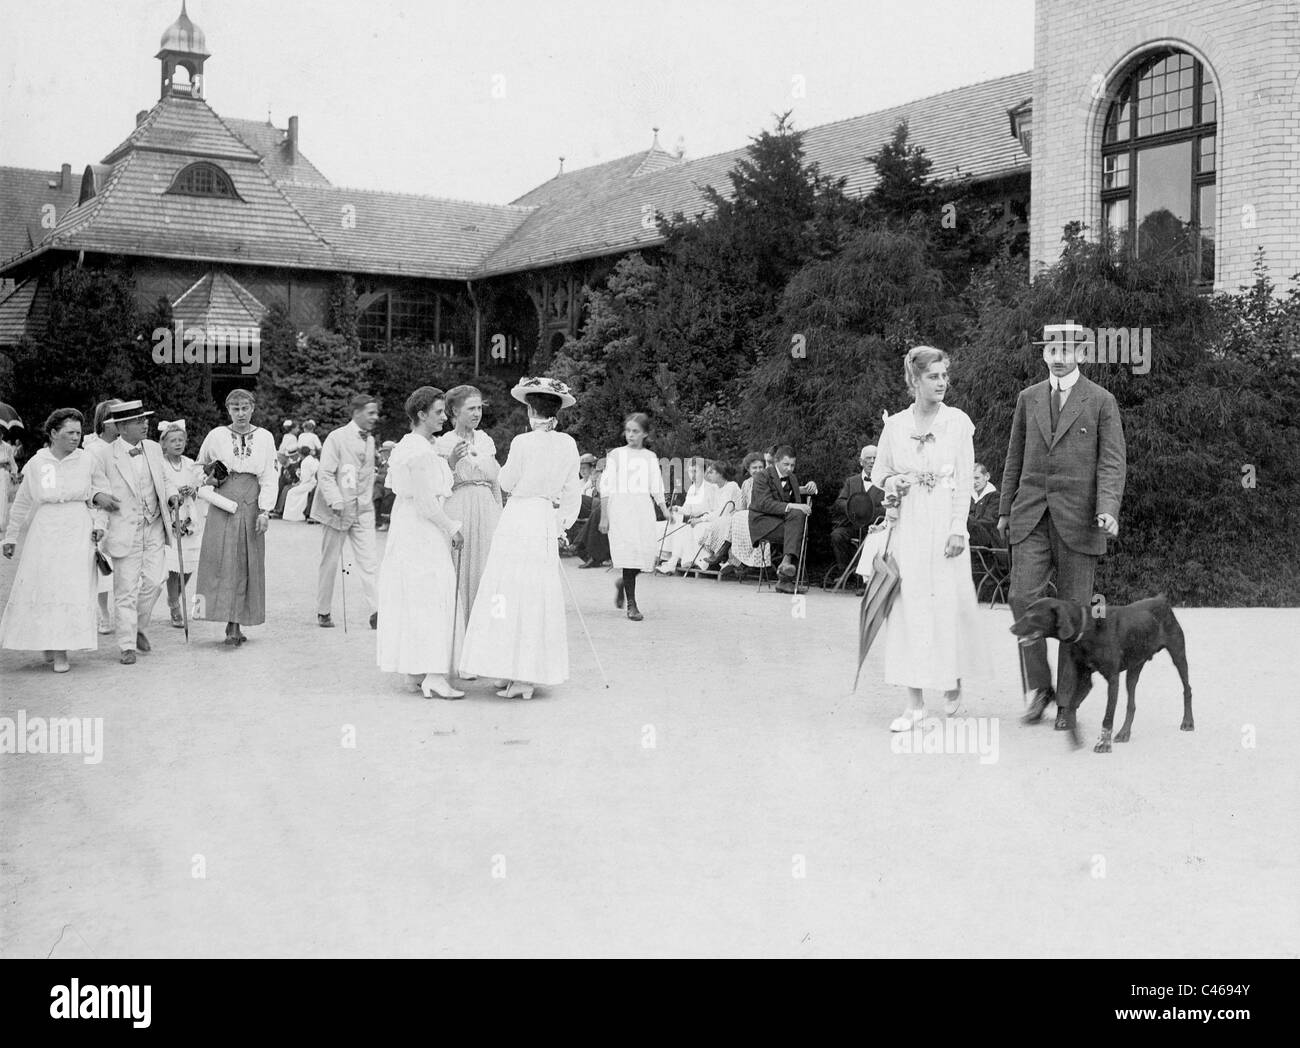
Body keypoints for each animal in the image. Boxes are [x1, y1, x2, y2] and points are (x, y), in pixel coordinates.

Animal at [1008, 598, 1190, 754]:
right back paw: (1124, 732)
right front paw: (1074, 737)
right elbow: (1071, 708)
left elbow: (1108, 716)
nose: (1011, 628)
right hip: (1134, 668)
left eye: (1033, 615)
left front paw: (1103, 743)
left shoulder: (1112, 680)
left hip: (1178, 656)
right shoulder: (1084, 678)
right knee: (1131, 704)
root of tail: (1162, 599)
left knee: (1187, 689)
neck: (1088, 629)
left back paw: (1188, 722)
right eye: (1026, 610)